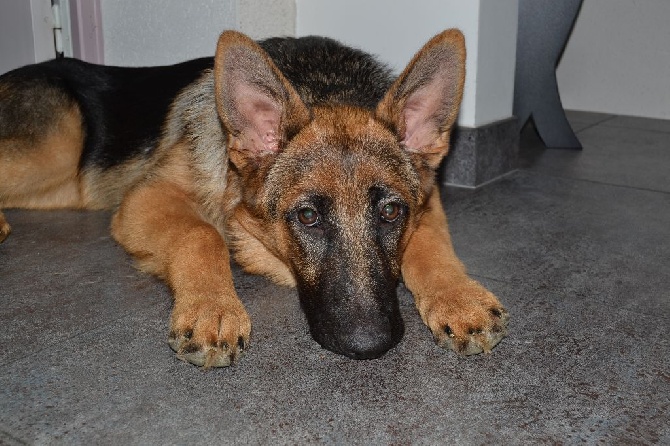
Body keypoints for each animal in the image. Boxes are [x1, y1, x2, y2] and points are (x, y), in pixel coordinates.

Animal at [0, 29, 510, 368]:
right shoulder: (148, 197)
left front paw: (457, 295)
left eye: (389, 212)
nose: (370, 344)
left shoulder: (426, 202)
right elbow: (201, 233)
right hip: (55, 147)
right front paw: (212, 307)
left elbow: (429, 245)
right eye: (307, 216)